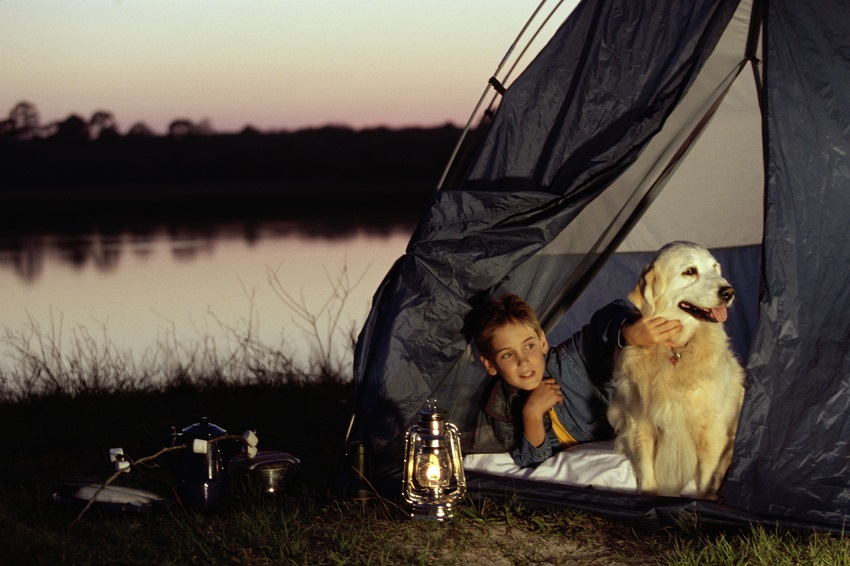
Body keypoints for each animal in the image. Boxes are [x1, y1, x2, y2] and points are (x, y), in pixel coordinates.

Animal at [608, 242, 744, 500]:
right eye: (690, 271)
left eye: (715, 268)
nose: (729, 292)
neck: (677, 349)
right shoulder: (641, 422)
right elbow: (646, 471)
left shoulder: (710, 429)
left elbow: (706, 480)